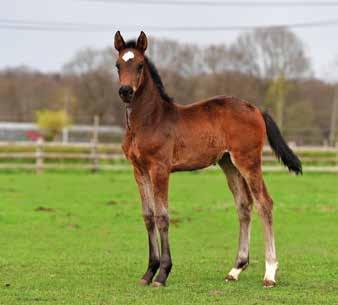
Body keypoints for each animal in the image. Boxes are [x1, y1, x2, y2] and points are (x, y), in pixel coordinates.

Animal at [113, 30, 302, 288]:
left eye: (140, 64)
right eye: (118, 65)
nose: (125, 91)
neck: (150, 120)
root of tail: (255, 109)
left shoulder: (160, 169)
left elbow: (162, 217)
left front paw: (162, 274)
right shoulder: (139, 170)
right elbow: (148, 216)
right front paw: (148, 272)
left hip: (248, 161)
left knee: (264, 203)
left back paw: (270, 273)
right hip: (229, 164)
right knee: (244, 206)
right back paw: (235, 269)